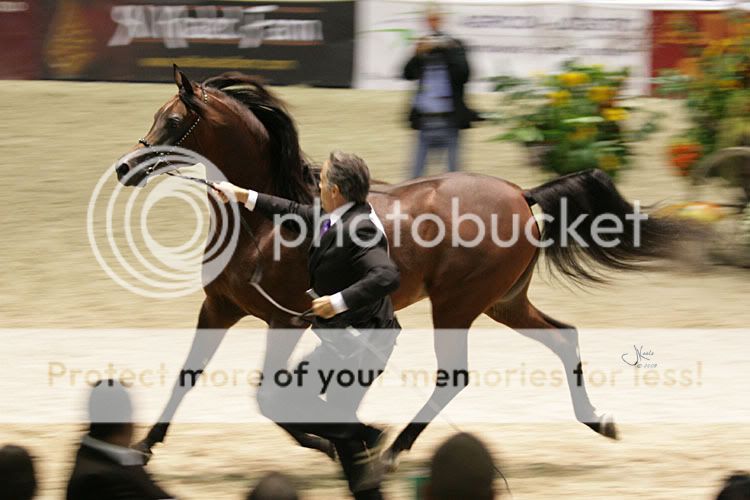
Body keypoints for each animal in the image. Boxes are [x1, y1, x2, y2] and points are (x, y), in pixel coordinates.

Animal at [116, 67, 688, 468]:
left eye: (174, 120)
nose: (125, 167)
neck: (261, 222)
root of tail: (523, 195)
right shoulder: (219, 308)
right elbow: (188, 376)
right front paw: (142, 449)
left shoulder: (288, 319)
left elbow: (266, 397)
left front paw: (341, 441)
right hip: (504, 303)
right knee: (564, 337)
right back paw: (600, 423)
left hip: (457, 305)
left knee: (453, 376)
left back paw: (392, 452)